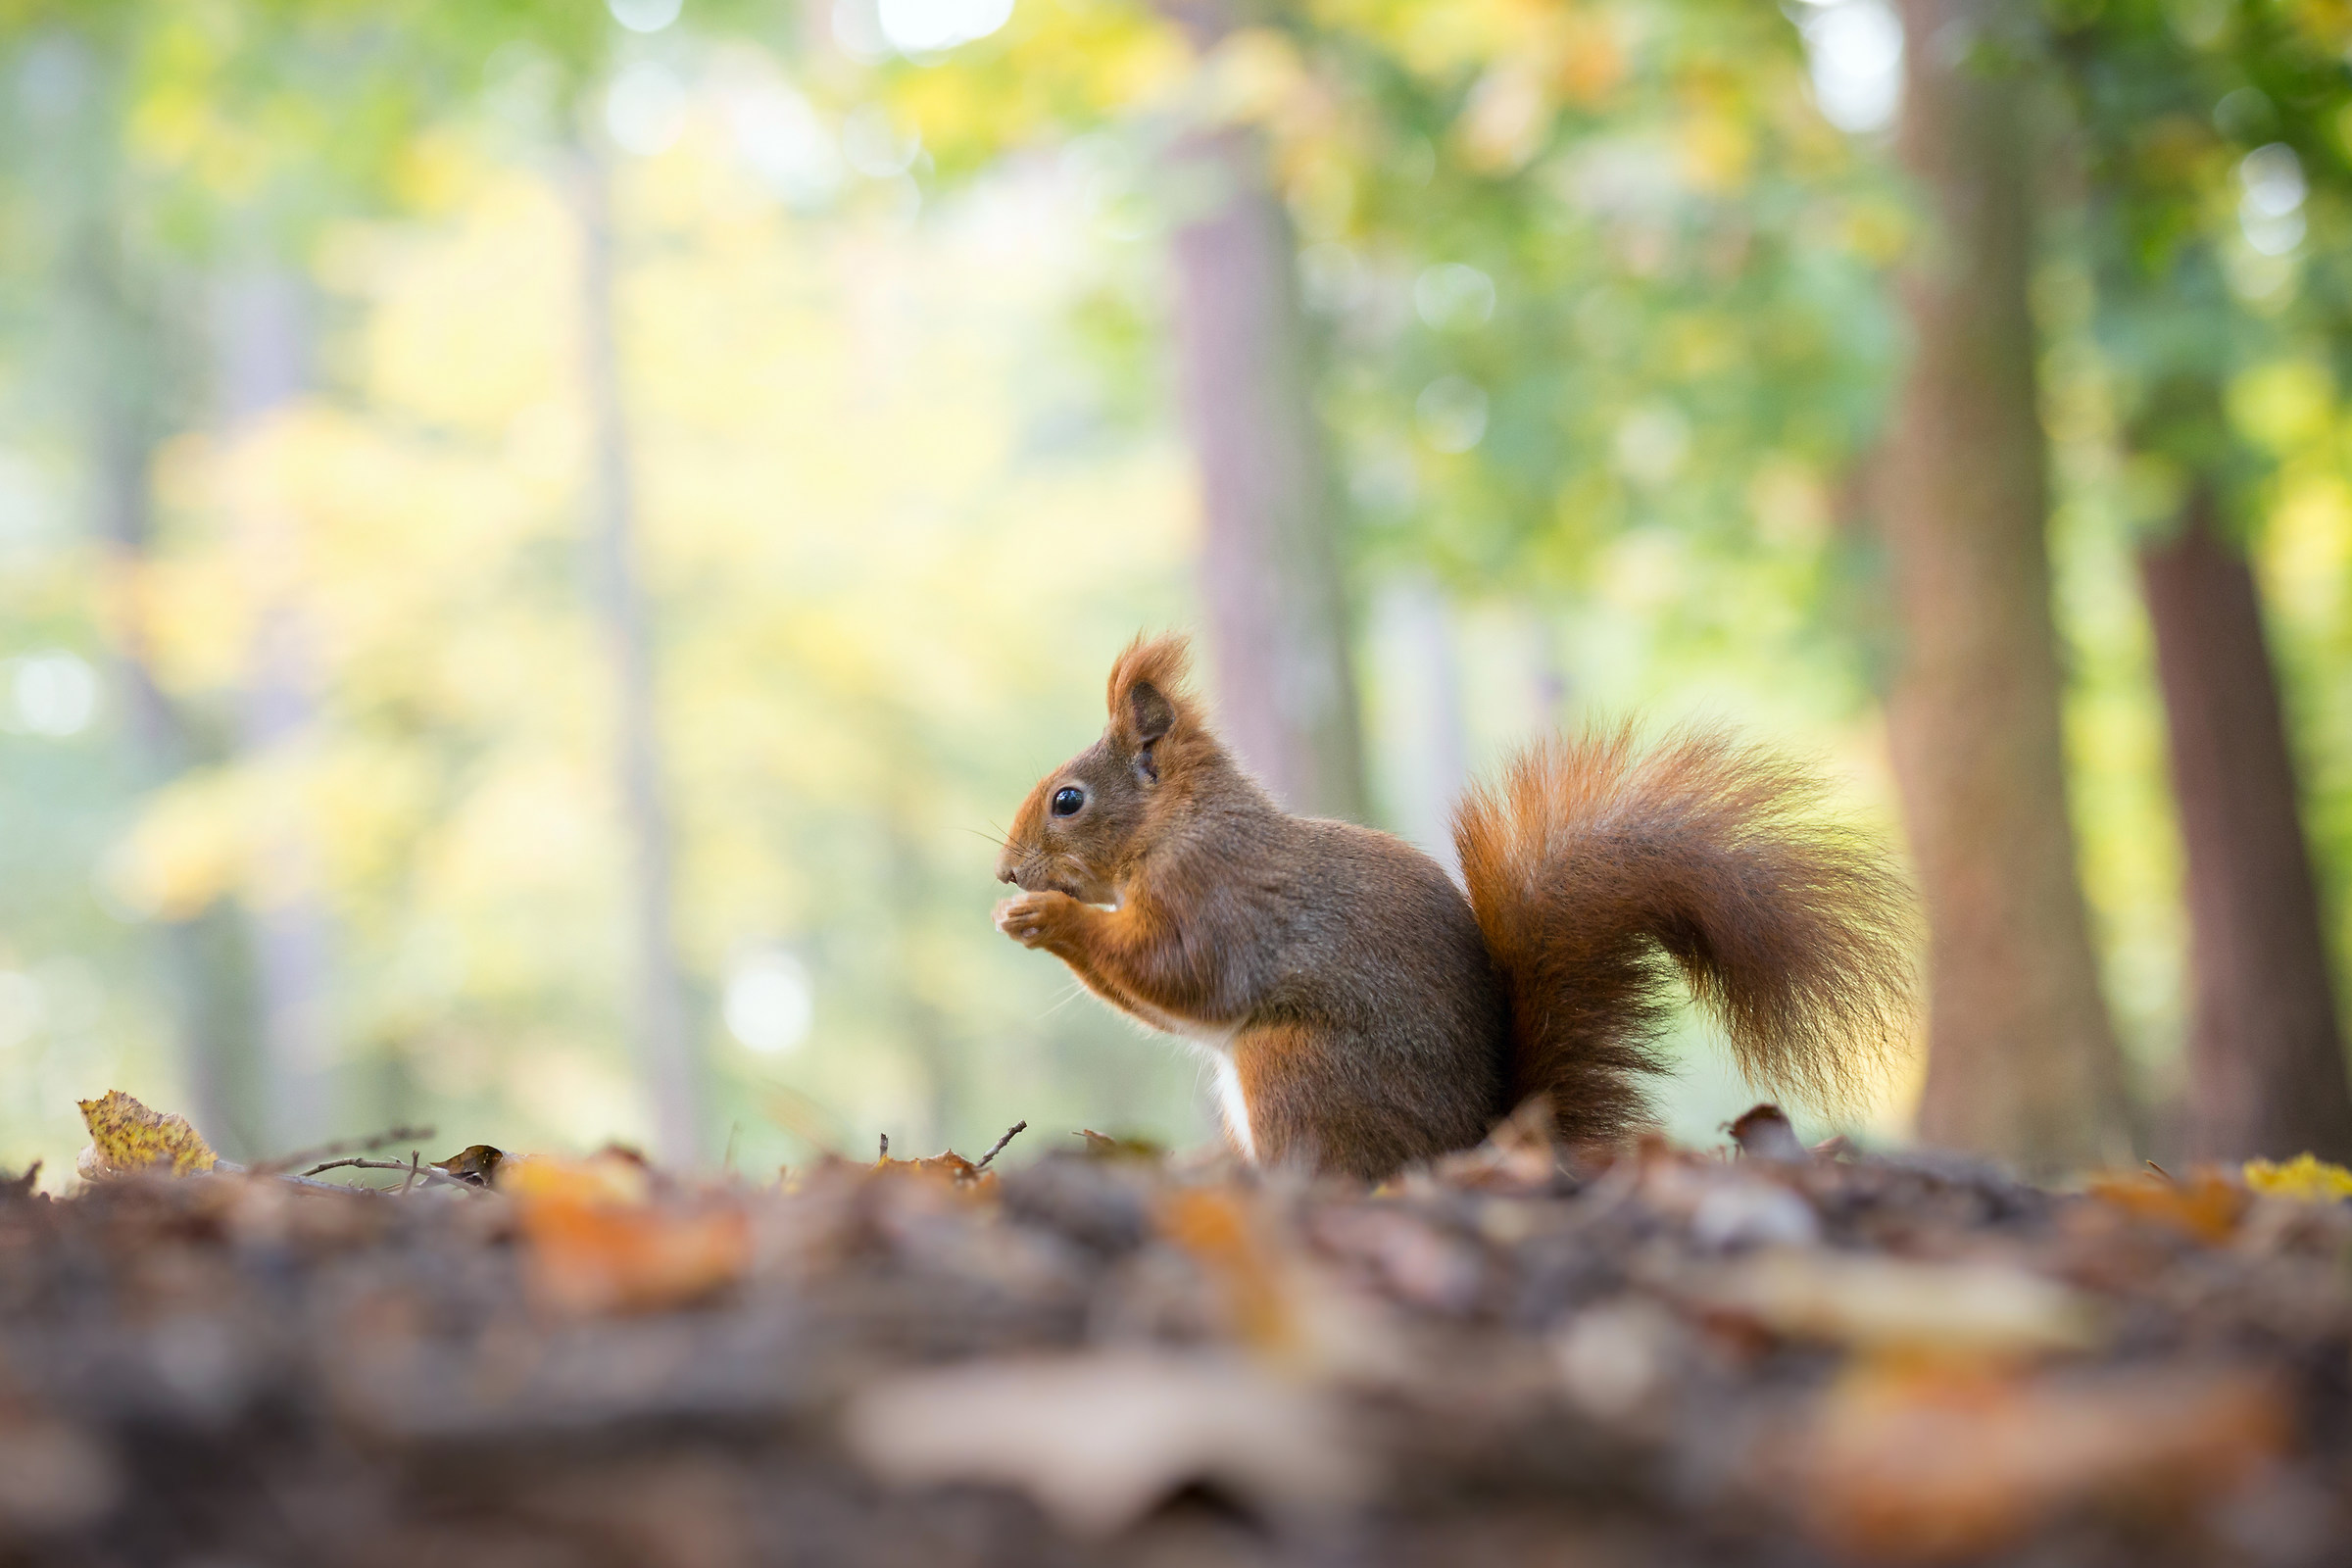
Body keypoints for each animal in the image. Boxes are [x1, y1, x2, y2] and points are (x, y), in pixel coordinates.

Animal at [992, 634, 1914, 1179]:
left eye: (1068, 800)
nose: (1005, 874)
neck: (1176, 825)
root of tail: (1474, 1146)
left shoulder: (1214, 895)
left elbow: (1179, 973)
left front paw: (1048, 919)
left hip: (1292, 1069)